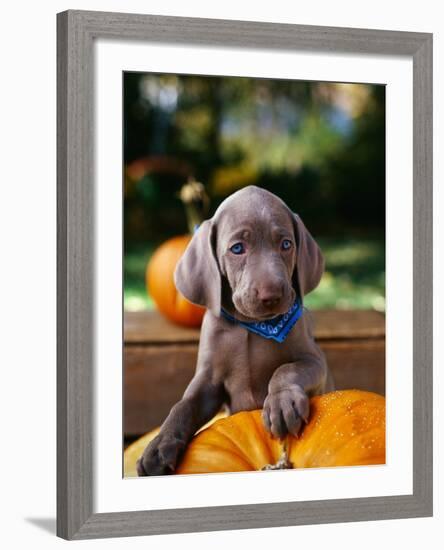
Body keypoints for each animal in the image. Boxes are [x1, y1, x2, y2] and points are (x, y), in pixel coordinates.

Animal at [137, 187, 334, 478]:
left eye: (286, 244)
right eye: (237, 248)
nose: (272, 296)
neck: (251, 328)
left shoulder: (315, 362)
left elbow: (286, 369)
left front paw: (281, 403)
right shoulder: (208, 381)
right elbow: (183, 406)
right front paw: (159, 446)